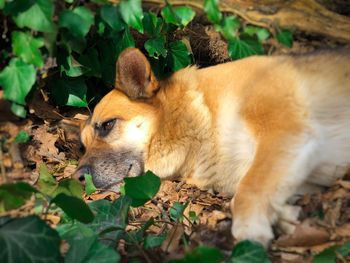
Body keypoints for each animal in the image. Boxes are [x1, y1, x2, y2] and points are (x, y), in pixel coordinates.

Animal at [75, 47, 350, 248]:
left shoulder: (286, 131)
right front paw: (287, 217)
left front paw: (251, 232)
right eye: (83, 146)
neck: (202, 115)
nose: (76, 177)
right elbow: (249, 194)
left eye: (107, 125)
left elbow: (249, 189)